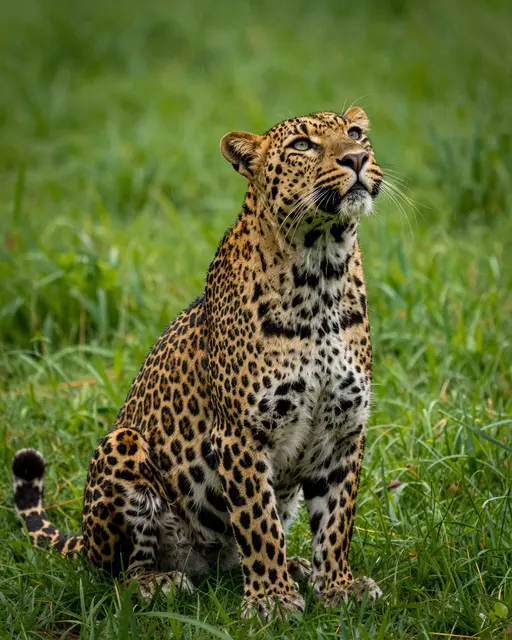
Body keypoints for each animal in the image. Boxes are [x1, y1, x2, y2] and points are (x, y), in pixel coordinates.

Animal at [13, 106, 384, 619]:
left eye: (356, 133)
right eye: (302, 146)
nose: (356, 158)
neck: (322, 271)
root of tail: (83, 540)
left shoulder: (345, 428)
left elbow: (336, 520)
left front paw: (338, 586)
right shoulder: (241, 434)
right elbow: (258, 523)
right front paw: (271, 600)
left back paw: (297, 568)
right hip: (123, 447)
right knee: (116, 575)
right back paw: (159, 584)